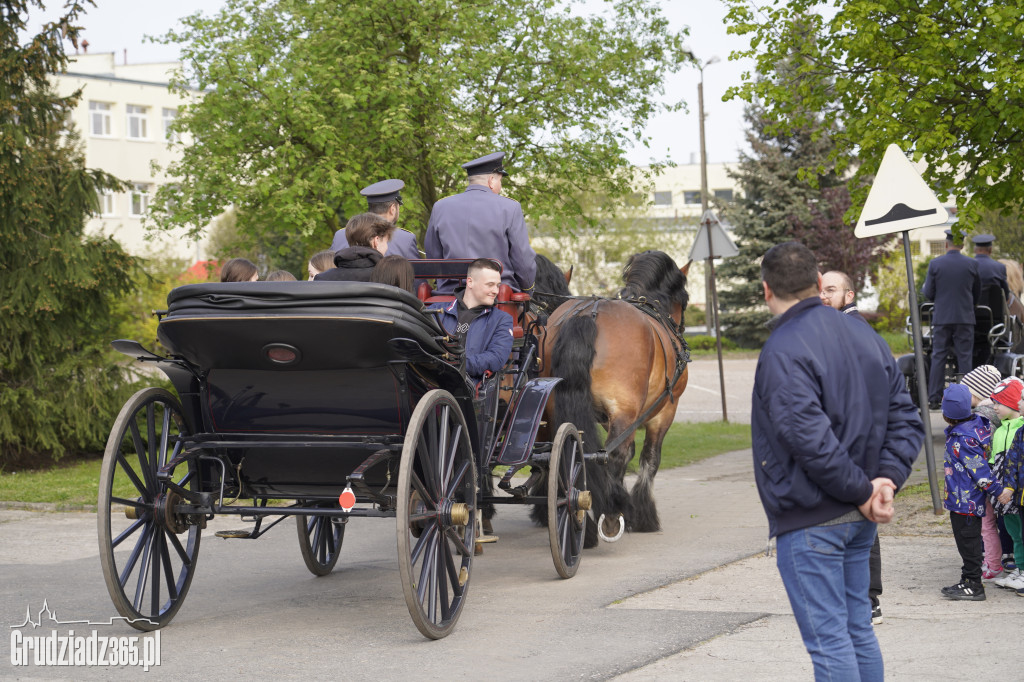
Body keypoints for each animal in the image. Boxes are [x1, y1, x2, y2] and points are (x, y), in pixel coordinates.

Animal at [536, 246, 688, 544]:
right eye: (685, 301)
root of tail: (587, 314)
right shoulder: (663, 412)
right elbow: (648, 459)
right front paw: (642, 514)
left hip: (555, 407)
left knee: (570, 454)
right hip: (626, 410)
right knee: (610, 456)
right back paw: (609, 514)